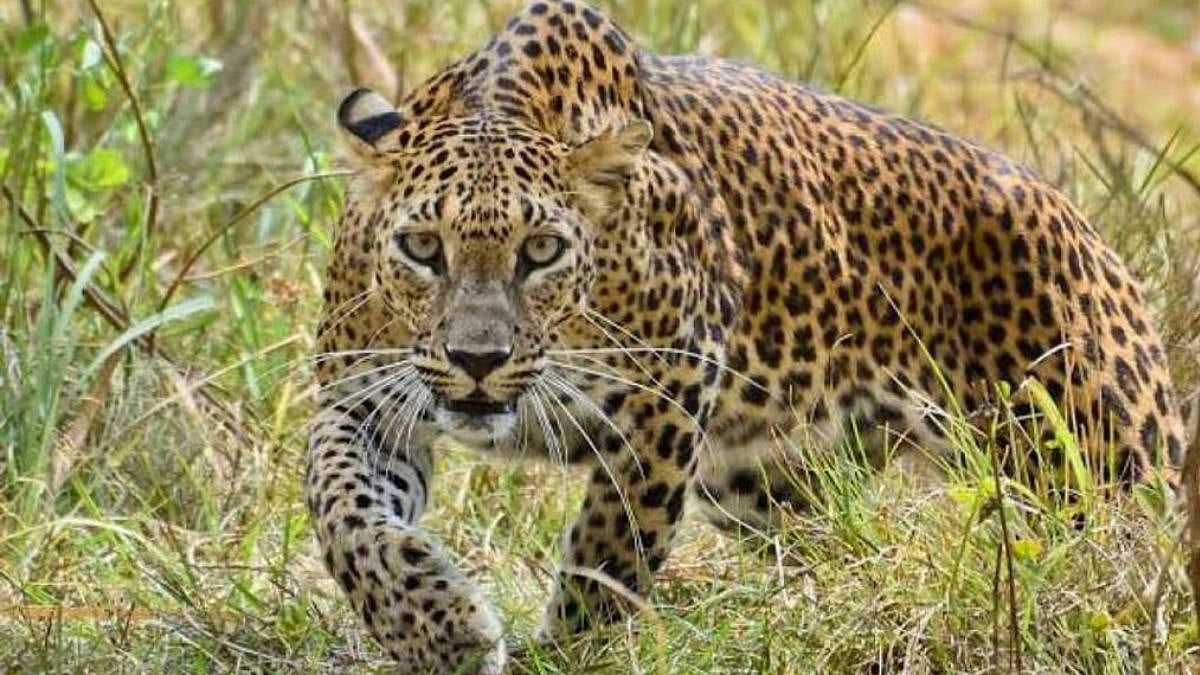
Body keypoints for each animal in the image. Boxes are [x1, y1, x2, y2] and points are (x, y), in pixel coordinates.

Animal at [305, 1, 1187, 671]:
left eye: (543, 250)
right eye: (423, 247)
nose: (478, 360)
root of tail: (1088, 227)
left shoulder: (666, 400)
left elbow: (607, 556)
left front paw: (561, 654)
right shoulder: (361, 395)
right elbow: (343, 510)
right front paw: (438, 628)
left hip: (1097, 468)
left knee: (1137, 567)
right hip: (768, 480)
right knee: (838, 544)